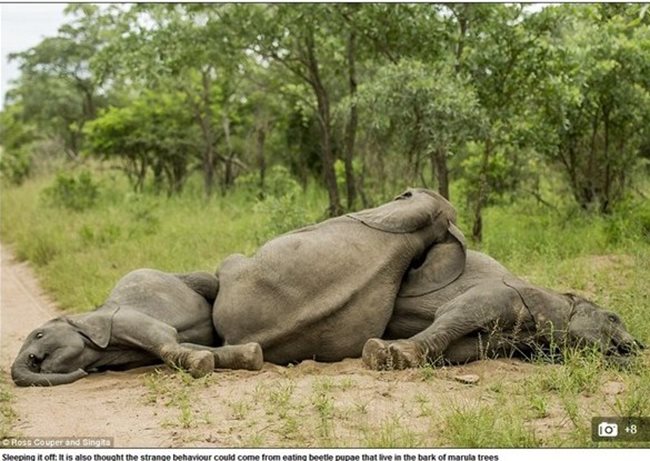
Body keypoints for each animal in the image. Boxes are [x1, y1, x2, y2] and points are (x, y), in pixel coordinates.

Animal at [11, 268, 262, 386]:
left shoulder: (124, 320)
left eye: (39, 335)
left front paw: (201, 364)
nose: (33, 360)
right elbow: (188, 345)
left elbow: (167, 341)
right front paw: (250, 354)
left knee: (210, 282)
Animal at [362, 250, 640, 368]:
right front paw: (382, 353)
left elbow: (465, 349)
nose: (638, 346)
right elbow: (454, 315)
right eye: (613, 318)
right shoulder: (499, 292)